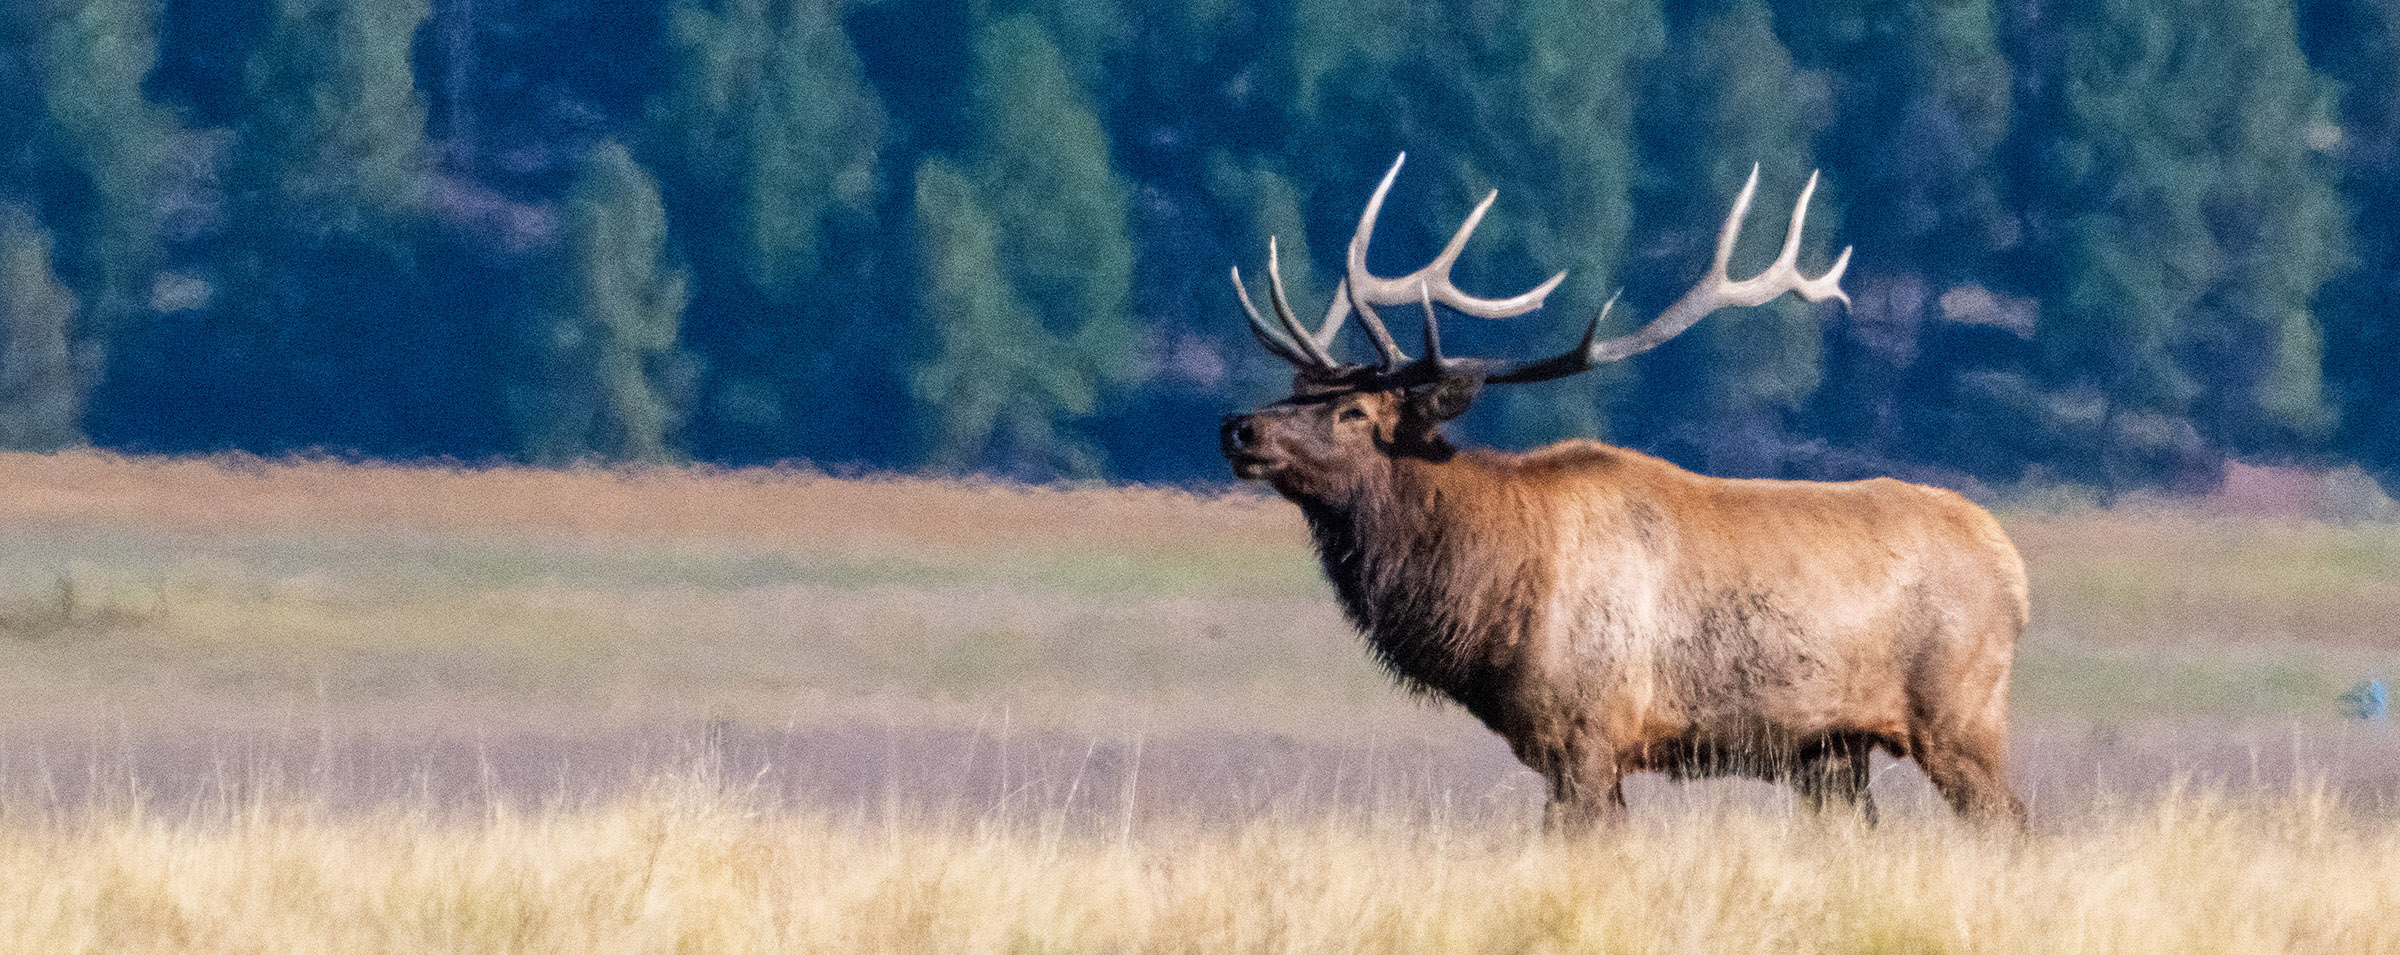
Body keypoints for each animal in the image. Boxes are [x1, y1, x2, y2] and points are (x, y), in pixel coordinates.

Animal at [1219, 157, 2025, 830]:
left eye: (1356, 412)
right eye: (1298, 390)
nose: (1238, 427)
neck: (1489, 597)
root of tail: (2013, 566)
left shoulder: (1587, 733)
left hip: (1961, 715)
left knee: (2010, 825)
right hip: (1832, 750)